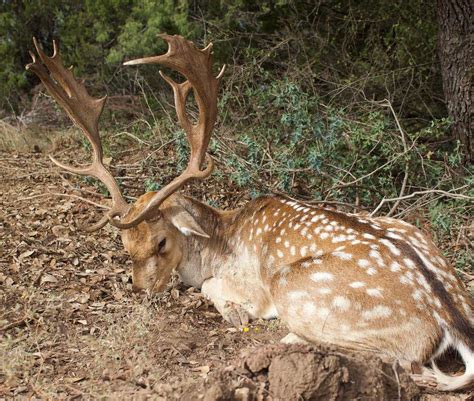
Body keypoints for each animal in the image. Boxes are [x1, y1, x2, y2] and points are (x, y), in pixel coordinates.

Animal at [27, 35, 472, 390]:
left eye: (161, 242)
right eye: (124, 245)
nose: (141, 290)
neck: (219, 241)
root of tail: (449, 319)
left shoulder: (251, 286)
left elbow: (212, 289)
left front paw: (234, 311)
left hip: (296, 285)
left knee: (397, 358)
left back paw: (289, 340)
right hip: (414, 236)